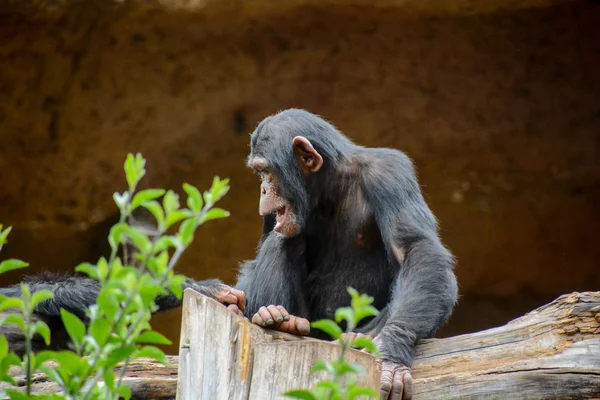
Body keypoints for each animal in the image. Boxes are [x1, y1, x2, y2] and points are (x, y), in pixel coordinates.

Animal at [237, 108, 458, 400]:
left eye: (266, 171)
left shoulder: (389, 173)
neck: (328, 188)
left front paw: (390, 353)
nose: (262, 189)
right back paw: (278, 320)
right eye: (259, 173)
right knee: (281, 240)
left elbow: (415, 248)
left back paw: (357, 337)